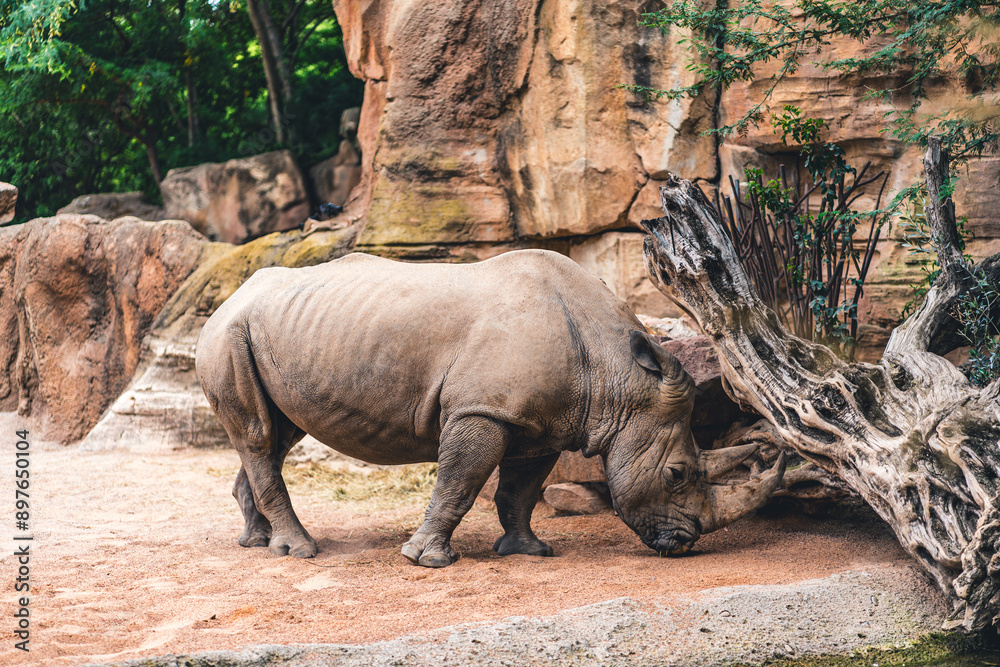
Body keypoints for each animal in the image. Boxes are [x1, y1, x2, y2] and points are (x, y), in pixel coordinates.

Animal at [196, 249, 785, 567]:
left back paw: (258, 543)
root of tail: (227, 297)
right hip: (229, 333)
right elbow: (460, 482)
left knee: (275, 435)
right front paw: (427, 560)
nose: (685, 544)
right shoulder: (482, 411)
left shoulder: (545, 422)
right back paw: (300, 551)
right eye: (678, 473)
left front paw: (529, 551)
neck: (616, 374)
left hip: (267, 331)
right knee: (258, 436)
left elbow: (519, 489)